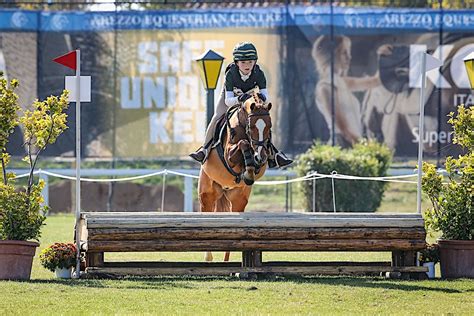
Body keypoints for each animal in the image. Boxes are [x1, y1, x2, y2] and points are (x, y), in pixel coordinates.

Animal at [198, 89, 272, 262]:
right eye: (252, 127)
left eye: (269, 126)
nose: (260, 157)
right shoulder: (229, 155)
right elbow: (243, 144)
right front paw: (248, 166)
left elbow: (253, 157)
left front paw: (250, 170)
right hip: (207, 194)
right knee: (206, 213)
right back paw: (208, 258)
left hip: (238, 199)